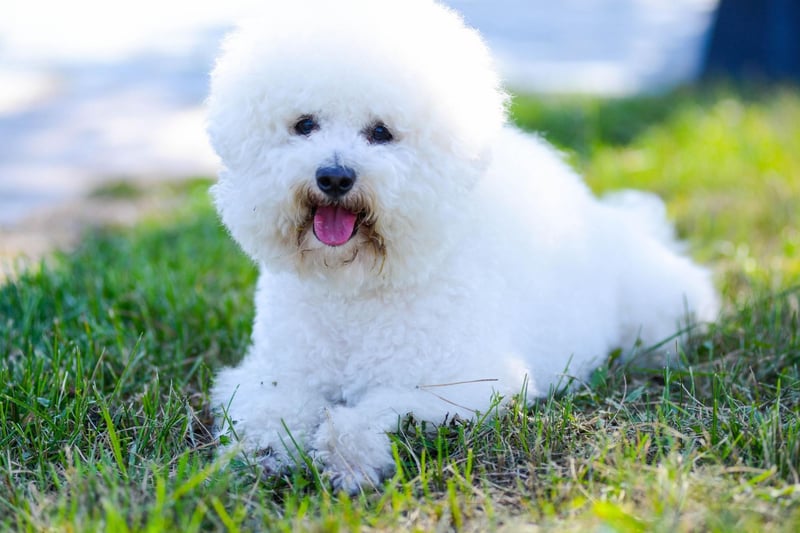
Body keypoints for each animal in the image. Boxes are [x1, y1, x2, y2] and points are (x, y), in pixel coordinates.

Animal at [206, 0, 720, 492]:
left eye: (381, 132)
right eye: (304, 124)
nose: (334, 176)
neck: (355, 289)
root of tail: (609, 218)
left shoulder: (460, 385)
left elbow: (372, 412)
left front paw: (346, 459)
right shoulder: (275, 371)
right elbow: (272, 408)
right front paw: (263, 452)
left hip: (656, 313)